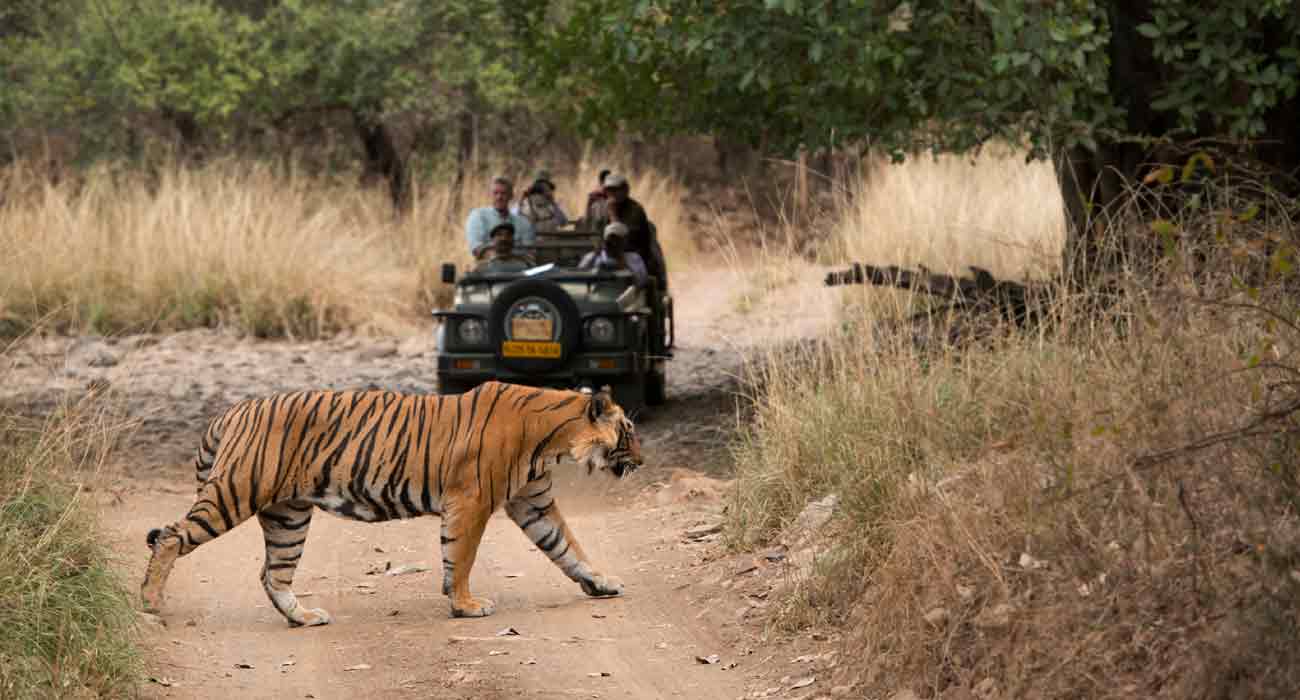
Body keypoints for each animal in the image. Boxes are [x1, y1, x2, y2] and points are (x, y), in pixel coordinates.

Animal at [141, 379, 639, 624]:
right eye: (628, 430)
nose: (642, 459)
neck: (552, 439)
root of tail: (230, 410)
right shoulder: (472, 500)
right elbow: (462, 556)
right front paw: (465, 606)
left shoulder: (531, 502)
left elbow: (568, 547)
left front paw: (601, 583)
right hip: (236, 491)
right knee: (170, 536)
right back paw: (149, 602)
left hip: (288, 517)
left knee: (272, 574)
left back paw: (304, 617)